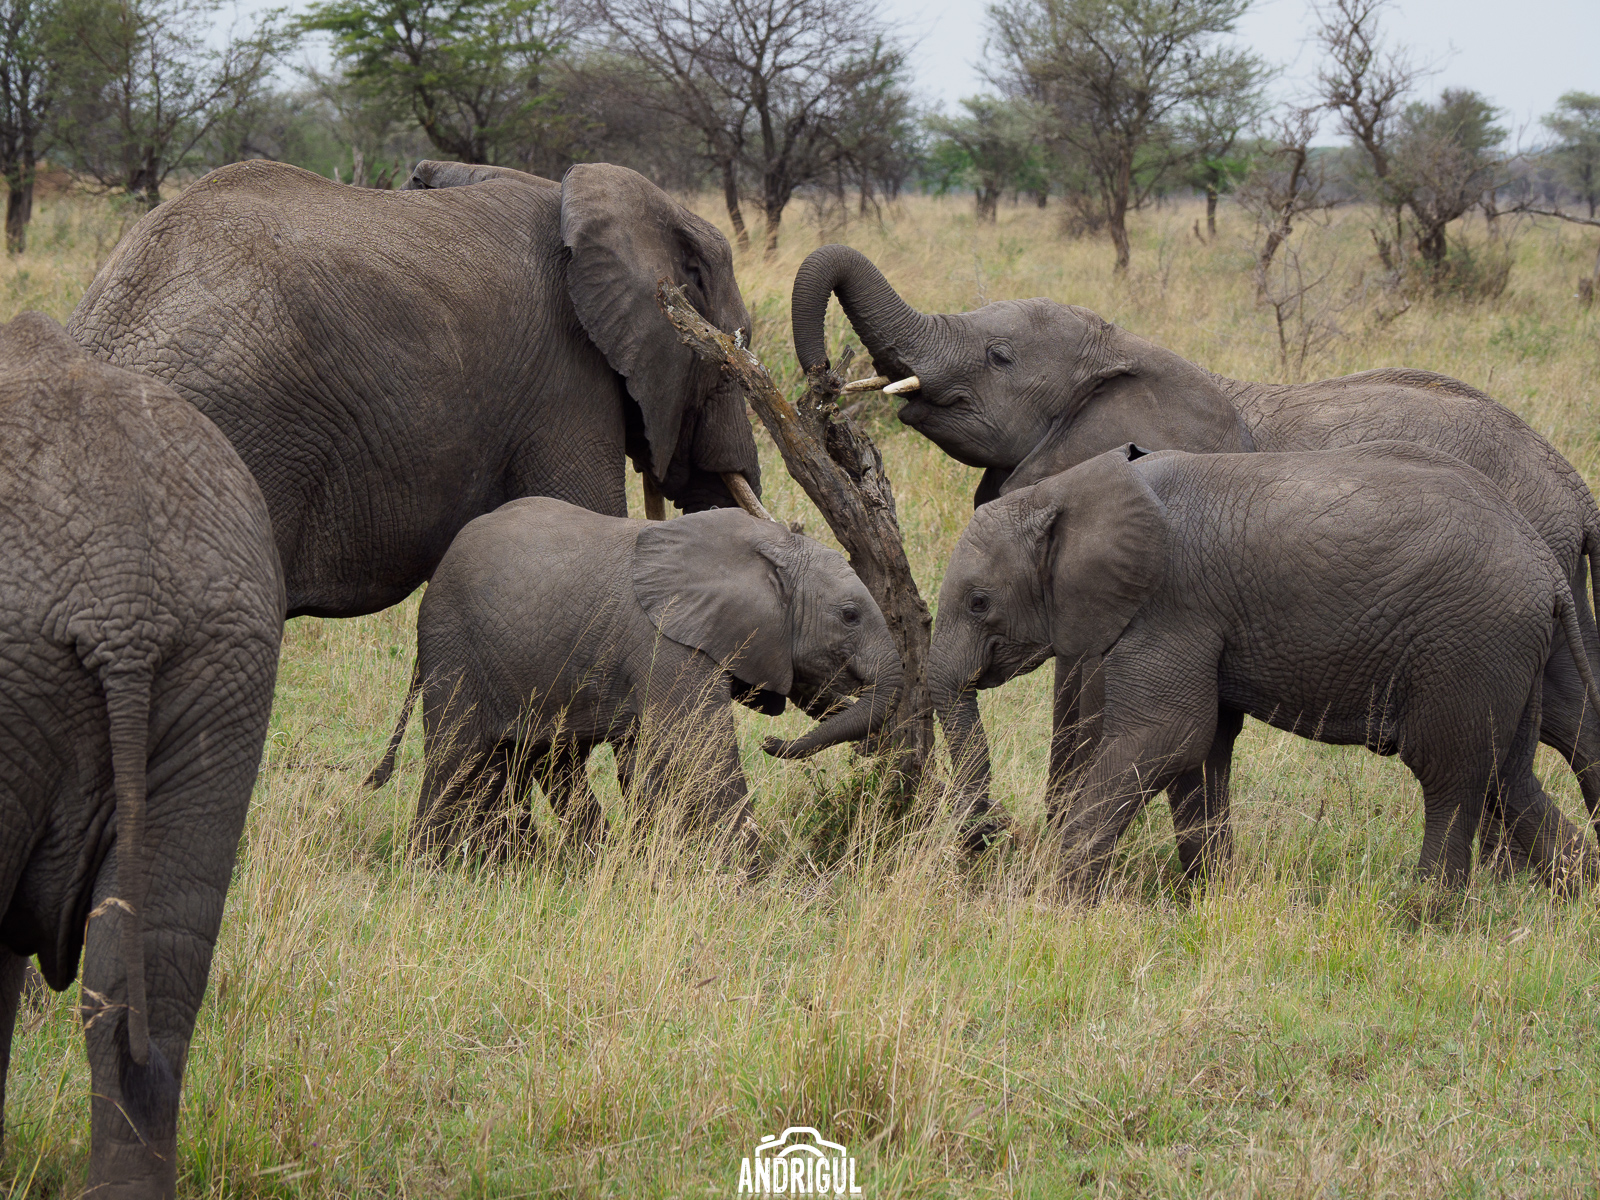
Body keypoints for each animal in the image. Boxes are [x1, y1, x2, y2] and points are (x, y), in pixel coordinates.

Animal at [365, 499, 903, 858]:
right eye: (850, 616)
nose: (771, 743)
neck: (766, 545)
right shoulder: (665, 642)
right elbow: (698, 750)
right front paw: (754, 887)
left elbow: (648, 764)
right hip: (453, 641)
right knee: (459, 758)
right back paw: (433, 869)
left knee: (532, 761)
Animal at [928, 442, 1600, 897]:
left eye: (979, 603)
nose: (991, 831)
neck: (1067, 491)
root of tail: (1547, 569)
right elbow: (1201, 752)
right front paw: (1211, 899)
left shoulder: (1171, 606)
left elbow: (1167, 735)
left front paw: (1051, 901)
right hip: (1507, 653)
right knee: (1508, 780)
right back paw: (1580, 892)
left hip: (1469, 644)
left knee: (1451, 778)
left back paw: (1421, 917)